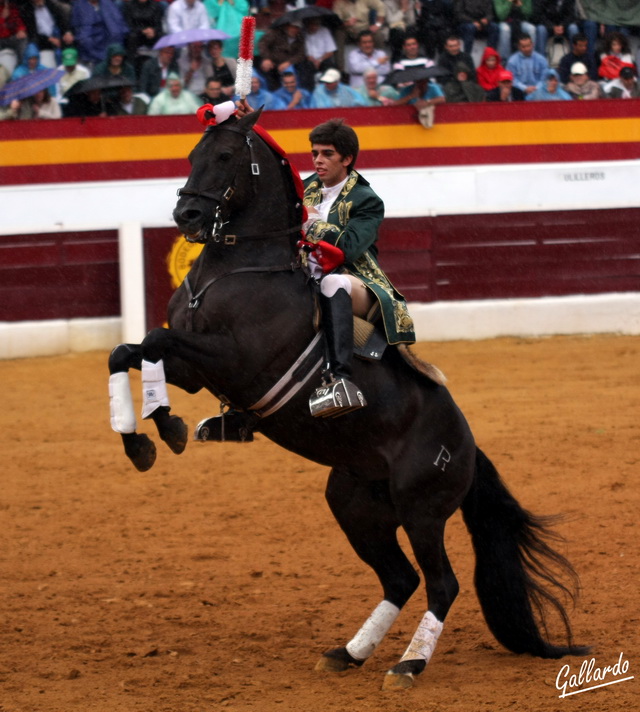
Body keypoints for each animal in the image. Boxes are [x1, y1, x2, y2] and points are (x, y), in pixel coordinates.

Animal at [107, 110, 588, 688]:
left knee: (441, 582)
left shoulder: (236, 360)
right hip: (355, 504)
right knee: (399, 578)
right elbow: (128, 351)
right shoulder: (194, 369)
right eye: (191, 154)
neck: (236, 268)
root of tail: (468, 447)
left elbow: (155, 340)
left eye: (224, 155)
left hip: (422, 508)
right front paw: (145, 437)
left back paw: (408, 664)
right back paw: (350, 652)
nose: (188, 213)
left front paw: (162, 427)